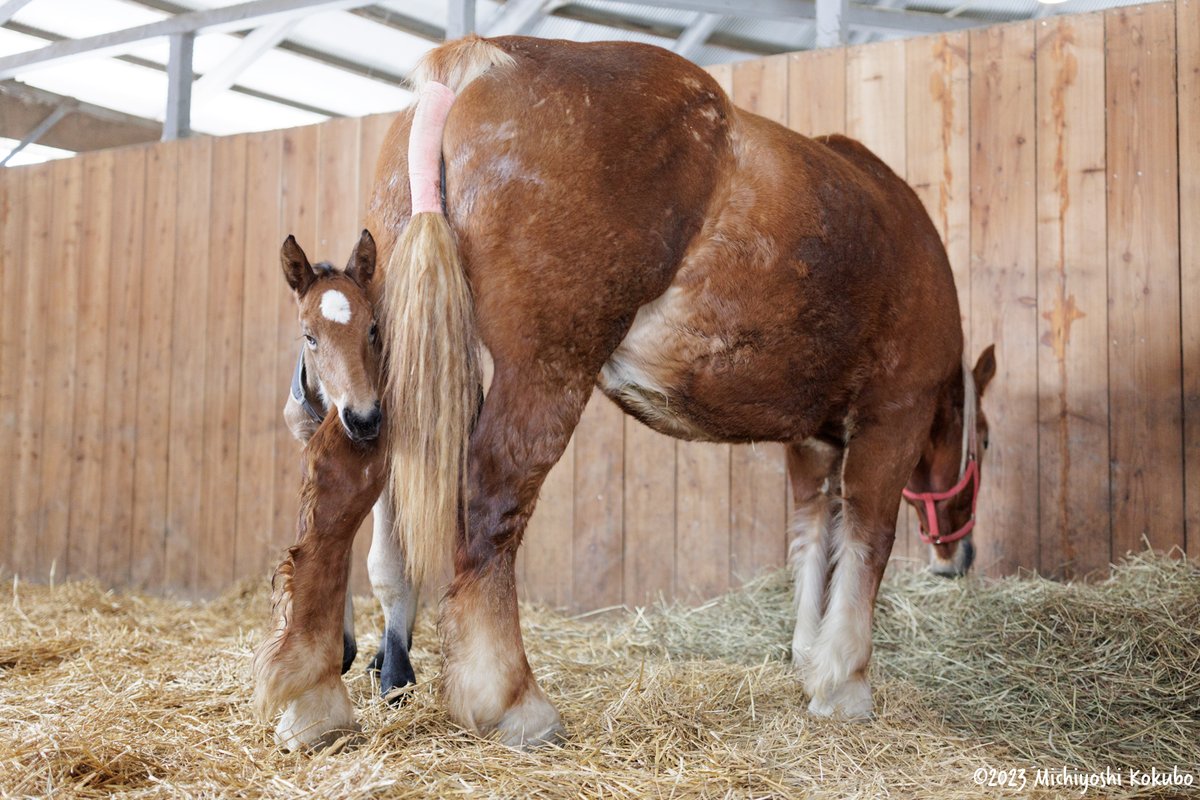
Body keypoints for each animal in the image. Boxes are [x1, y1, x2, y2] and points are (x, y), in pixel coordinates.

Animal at [253, 34, 995, 750]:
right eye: (982, 441)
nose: (959, 558)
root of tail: (469, 69)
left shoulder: (812, 440)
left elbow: (816, 533)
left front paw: (811, 659)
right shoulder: (891, 418)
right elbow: (868, 537)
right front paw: (844, 683)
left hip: (388, 363)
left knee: (342, 479)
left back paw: (314, 699)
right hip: (545, 370)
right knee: (490, 500)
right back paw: (512, 702)